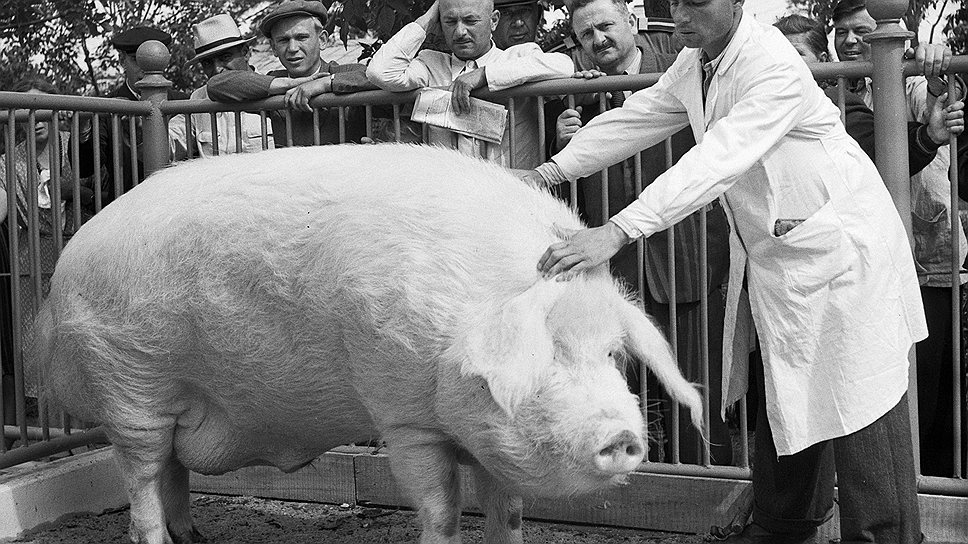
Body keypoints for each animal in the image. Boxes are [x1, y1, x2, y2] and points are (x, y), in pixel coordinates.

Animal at [32, 144, 704, 544]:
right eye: (548, 356)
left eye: (610, 354)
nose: (623, 436)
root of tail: (59, 279)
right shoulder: (403, 413)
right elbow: (439, 507)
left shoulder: (483, 439)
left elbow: (509, 510)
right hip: (129, 386)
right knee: (143, 479)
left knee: (171, 471)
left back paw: (196, 540)